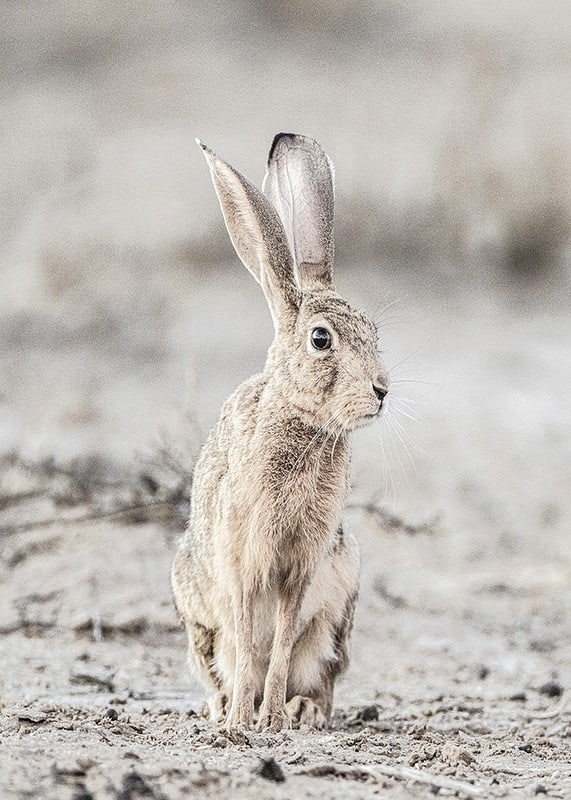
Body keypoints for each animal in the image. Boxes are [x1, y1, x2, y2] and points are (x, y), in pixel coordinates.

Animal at [171, 133, 389, 732]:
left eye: (374, 334)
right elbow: (250, 639)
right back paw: (224, 706)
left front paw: (271, 718)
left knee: (318, 673)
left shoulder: (302, 566)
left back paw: (302, 709)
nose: (382, 390)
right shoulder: (244, 559)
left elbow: (284, 640)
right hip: (198, 617)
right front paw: (243, 720)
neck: (302, 424)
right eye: (321, 340)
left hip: (340, 607)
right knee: (224, 659)